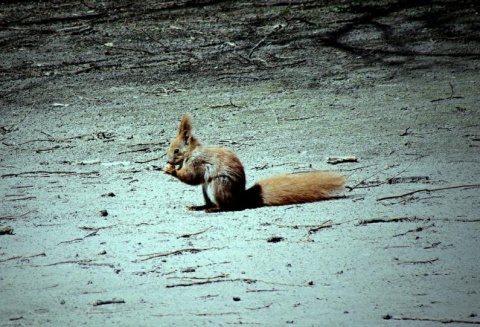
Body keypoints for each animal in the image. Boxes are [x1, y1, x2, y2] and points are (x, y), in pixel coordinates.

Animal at [163, 114, 346, 213]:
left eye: (176, 151)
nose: (168, 161)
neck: (191, 152)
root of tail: (240, 198)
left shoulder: (198, 162)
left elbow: (191, 177)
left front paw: (171, 171)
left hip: (218, 185)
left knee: (227, 207)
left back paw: (213, 209)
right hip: (207, 189)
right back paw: (199, 207)